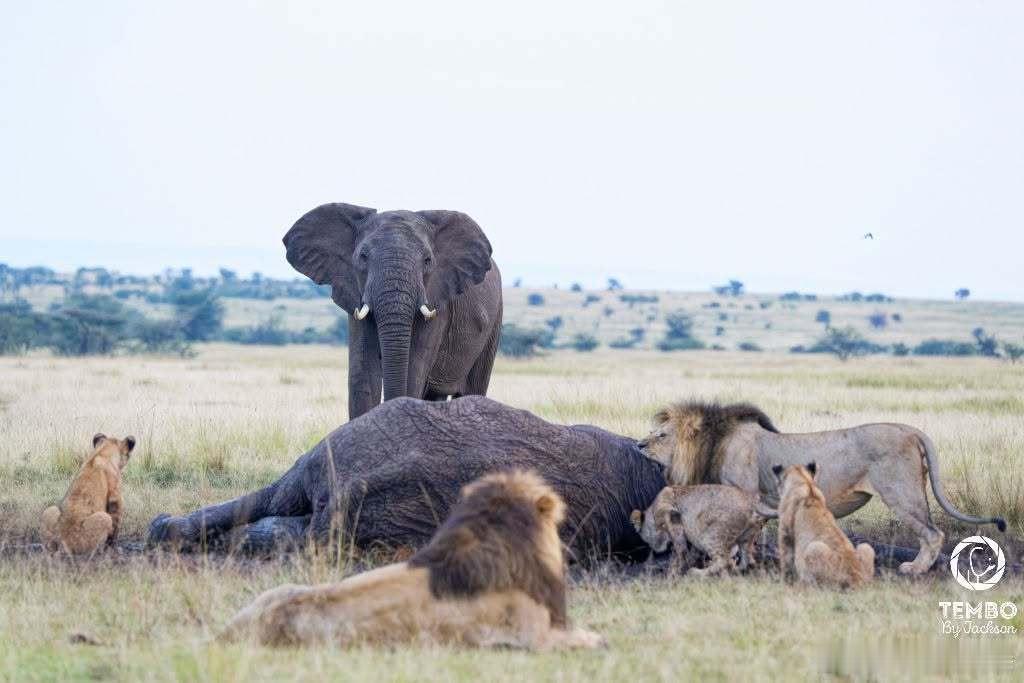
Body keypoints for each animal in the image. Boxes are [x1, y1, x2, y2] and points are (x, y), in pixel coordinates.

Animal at [283, 203, 502, 419]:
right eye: (363, 257)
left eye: (427, 260)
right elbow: (363, 372)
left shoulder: (437, 302)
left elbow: (414, 369)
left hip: (494, 323)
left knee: (473, 390)